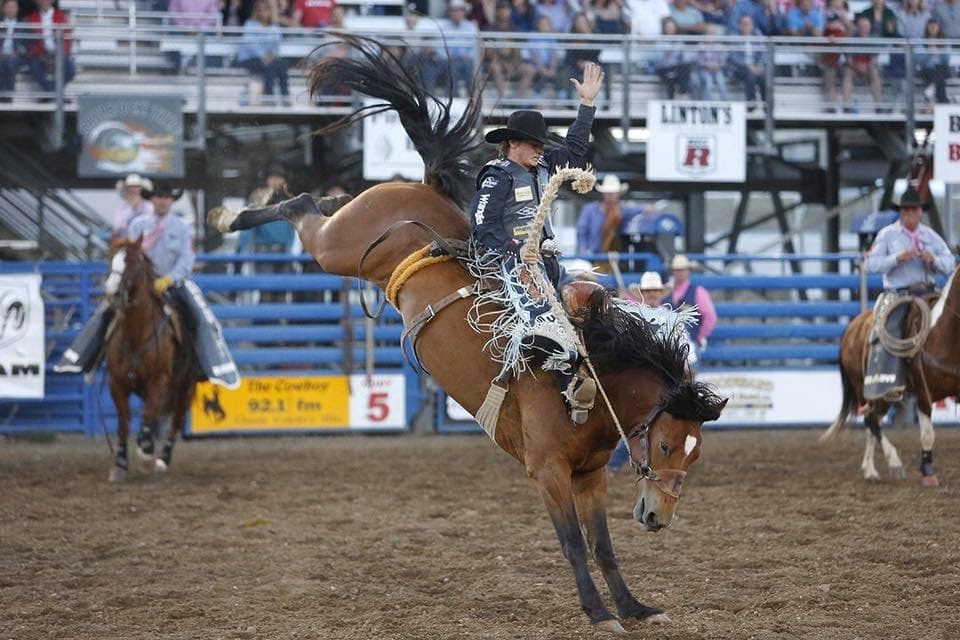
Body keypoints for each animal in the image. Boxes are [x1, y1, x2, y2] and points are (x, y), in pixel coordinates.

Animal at [102, 238, 197, 482]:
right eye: (111, 259)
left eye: (131, 263)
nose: (112, 292)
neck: (136, 334)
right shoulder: (116, 383)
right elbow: (124, 422)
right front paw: (119, 464)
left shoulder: (159, 381)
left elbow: (146, 416)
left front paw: (146, 455)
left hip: (184, 387)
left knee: (175, 421)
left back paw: (162, 459)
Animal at [208, 35, 726, 632]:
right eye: (664, 442)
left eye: (694, 454)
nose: (657, 516)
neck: (586, 379)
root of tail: (424, 188)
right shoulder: (548, 472)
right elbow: (573, 544)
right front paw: (598, 614)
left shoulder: (591, 475)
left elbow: (603, 545)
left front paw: (634, 607)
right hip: (337, 245)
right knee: (302, 207)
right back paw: (229, 217)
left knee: (318, 204)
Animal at [823, 263, 960, 487]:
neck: (943, 334)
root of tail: (851, 327)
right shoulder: (923, 393)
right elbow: (927, 435)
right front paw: (928, 472)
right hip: (867, 388)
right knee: (870, 420)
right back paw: (893, 463)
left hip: (883, 396)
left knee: (872, 422)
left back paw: (869, 469)